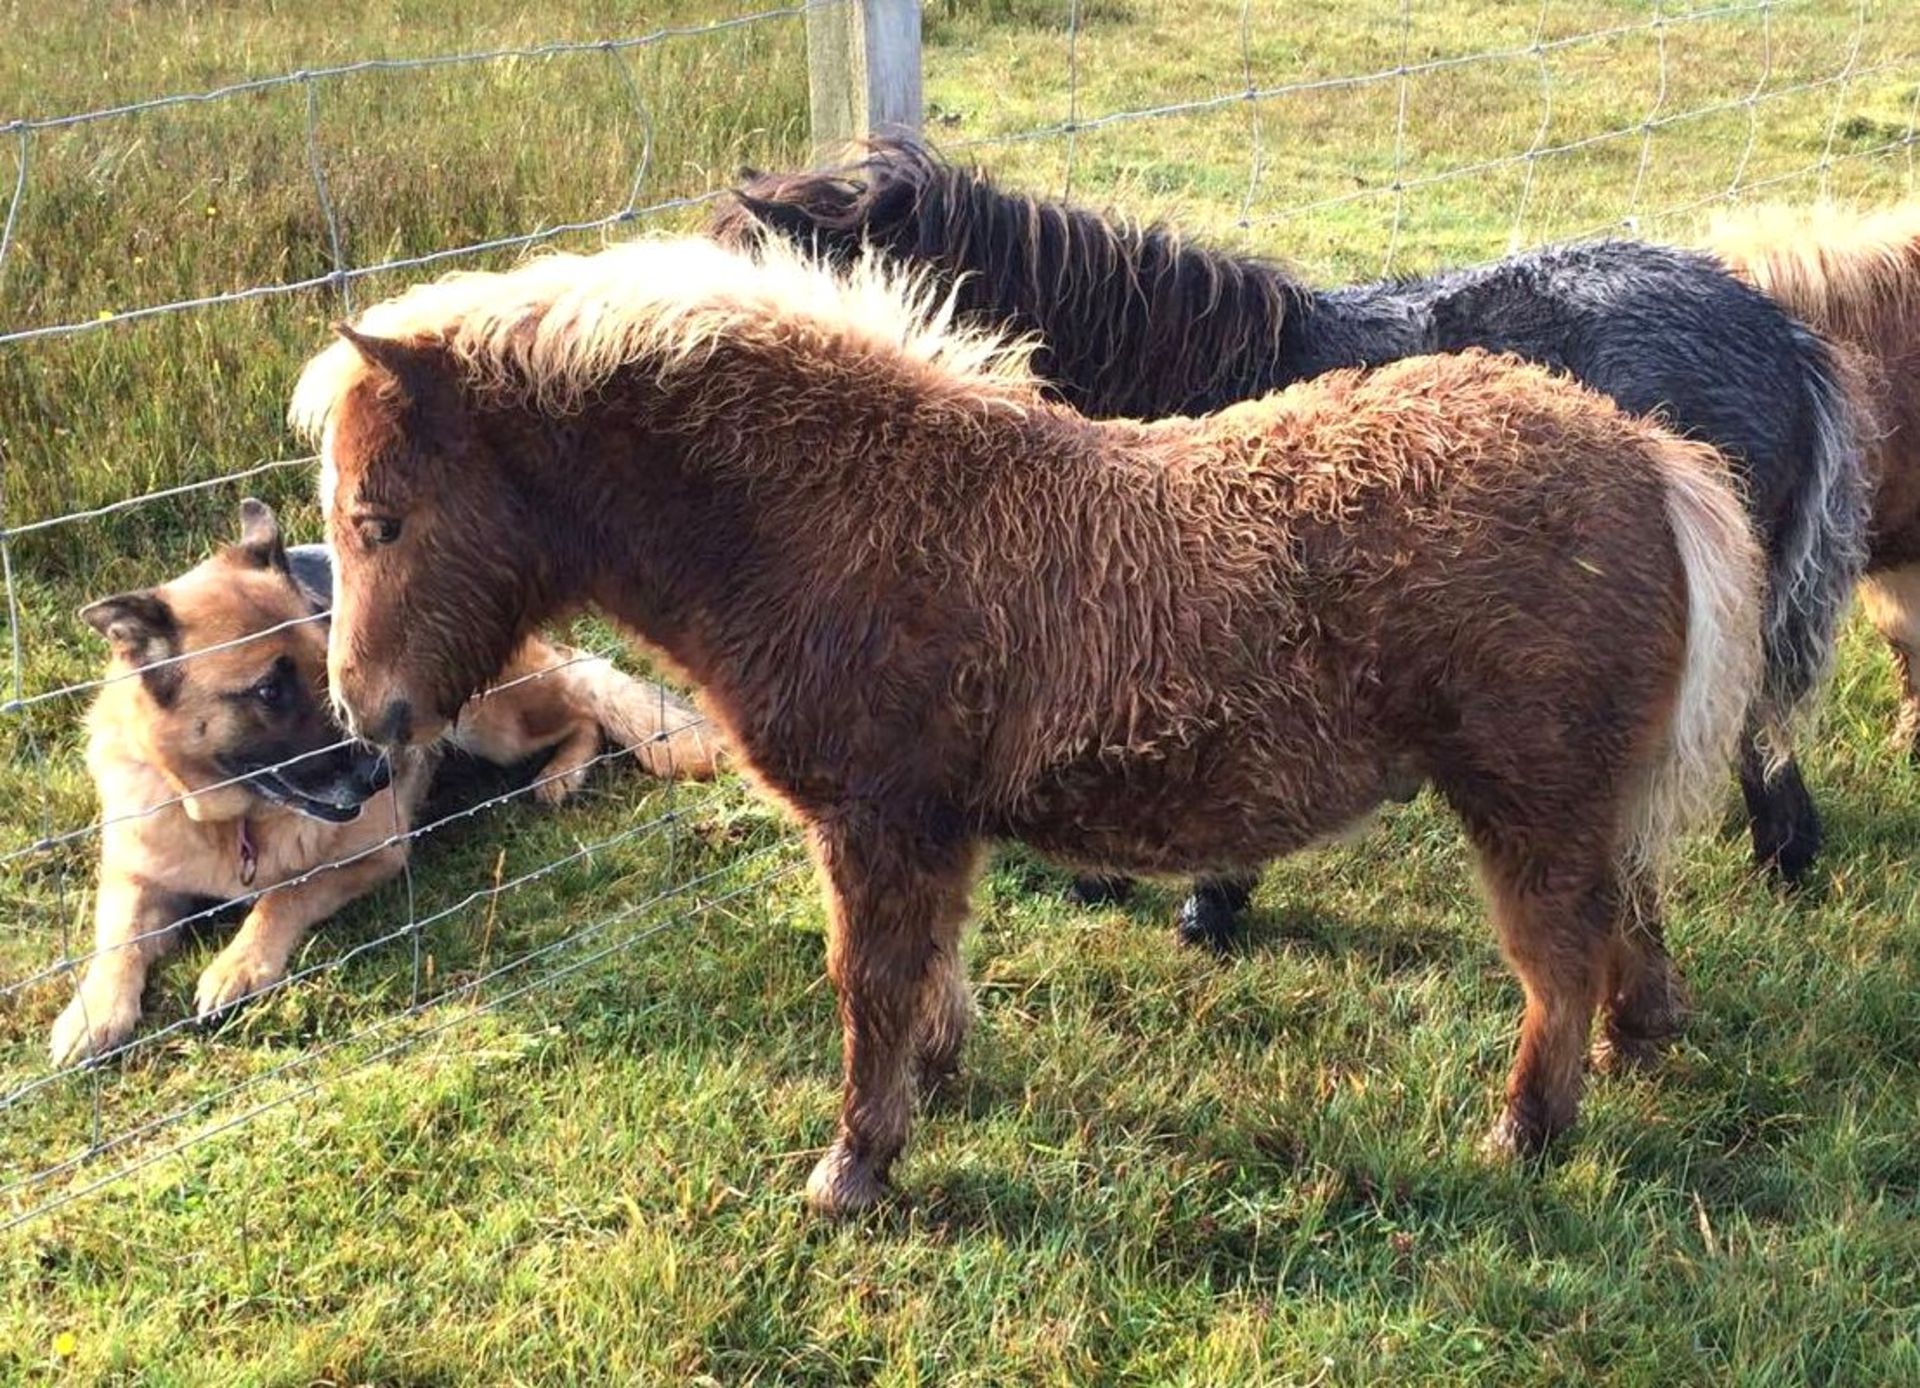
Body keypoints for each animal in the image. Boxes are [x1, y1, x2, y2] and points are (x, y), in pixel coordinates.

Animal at [46, 499, 721, 1067]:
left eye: (326, 666)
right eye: (268, 691)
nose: (381, 775)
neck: (235, 821)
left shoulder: (371, 855)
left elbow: (284, 895)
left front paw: (239, 963)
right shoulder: (133, 876)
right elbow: (117, 941)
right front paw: (93, 1012)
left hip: (490, 721)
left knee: (584, 707)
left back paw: (561, 774)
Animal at [291, 239, 1758, 1213]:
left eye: (378, 518)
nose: (366, 722)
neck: (836, 515)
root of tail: (1645, 457)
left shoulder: (878, 821)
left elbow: (869, 982)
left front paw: (853, 1170)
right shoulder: (928, 827)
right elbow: (928, 970)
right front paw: (936, 1085)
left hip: (1527, 799)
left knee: (1558, 954)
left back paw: (1528, 1130)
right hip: (1589, 794)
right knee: (1630, 913)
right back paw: (1638, 1046)